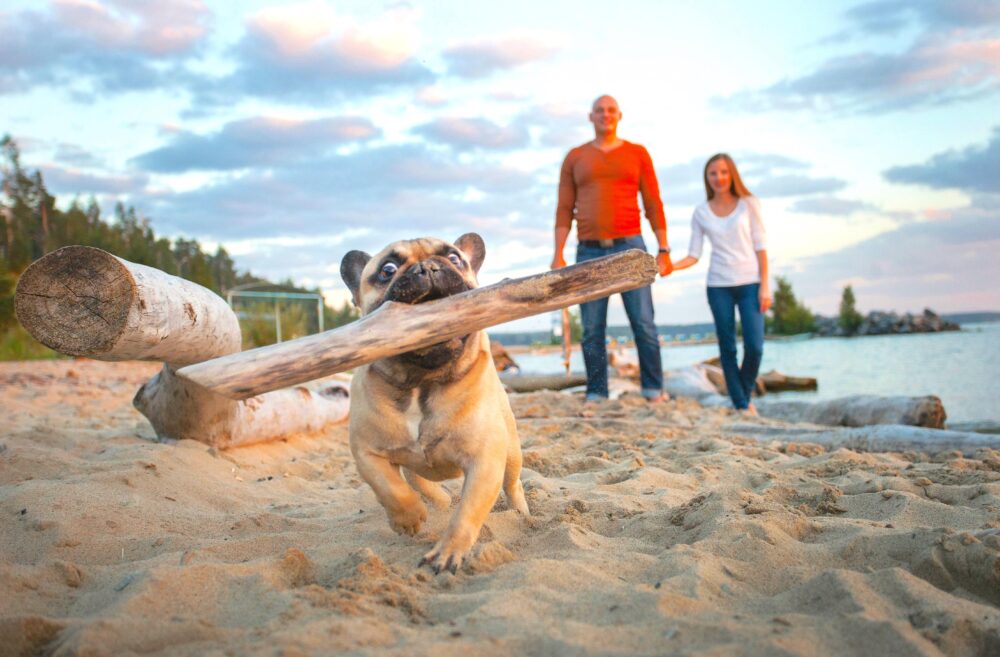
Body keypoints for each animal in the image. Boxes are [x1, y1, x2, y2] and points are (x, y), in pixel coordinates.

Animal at [342, 233, 532, 572]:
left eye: (455, 258)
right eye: (388, 269)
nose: (428, 267)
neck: (422, 381)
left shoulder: (485, 461)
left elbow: (467, 512)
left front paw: (448, 552)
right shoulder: (367, 452)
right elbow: (389, 488)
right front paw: (409, 518)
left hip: (511, 452)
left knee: (512, 483)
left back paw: (521, 513)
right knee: (417, 480)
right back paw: (438, 500)